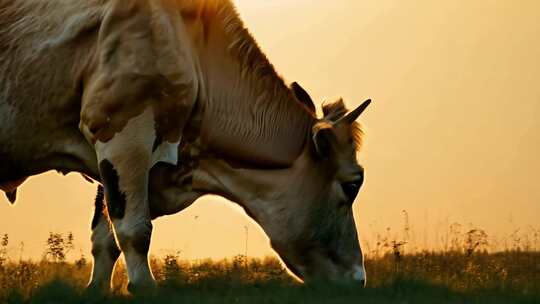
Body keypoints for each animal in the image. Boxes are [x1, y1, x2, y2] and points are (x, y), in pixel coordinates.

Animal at [0, 0, 372, 294]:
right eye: (353, 184)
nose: (359, 279)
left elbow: (104, 239)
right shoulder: (122, 135)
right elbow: (133, 230)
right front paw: (144, 287)